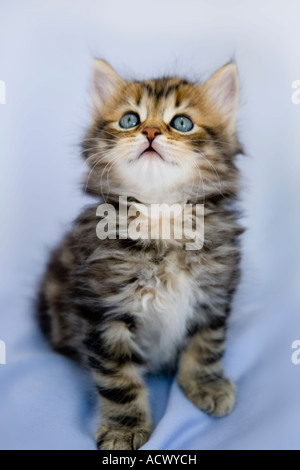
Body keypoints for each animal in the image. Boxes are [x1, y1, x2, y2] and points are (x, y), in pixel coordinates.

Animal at [37, 60, 244, 450]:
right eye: (130, 119)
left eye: (182, 123)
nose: (149, 131)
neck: (161, 215)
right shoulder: (105, 311)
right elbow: (119, 380)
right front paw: (125, 428)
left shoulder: (213, 294)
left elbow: (207, 347)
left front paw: (206, 385)